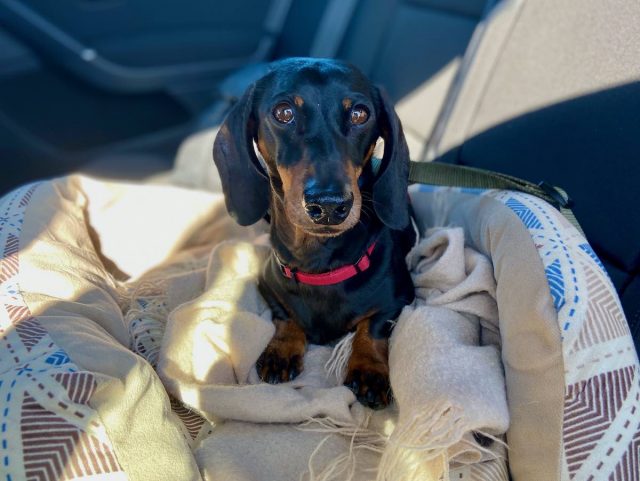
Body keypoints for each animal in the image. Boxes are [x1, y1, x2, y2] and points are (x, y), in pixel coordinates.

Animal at [214, 57, 416, 408]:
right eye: (284, 112)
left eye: (360, 114)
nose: (329, 204)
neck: (318, 261)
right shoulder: (267, 283)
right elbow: (285, 315)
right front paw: (282, 349)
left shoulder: (401, 296)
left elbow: (373, 327)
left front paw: (369, 368)